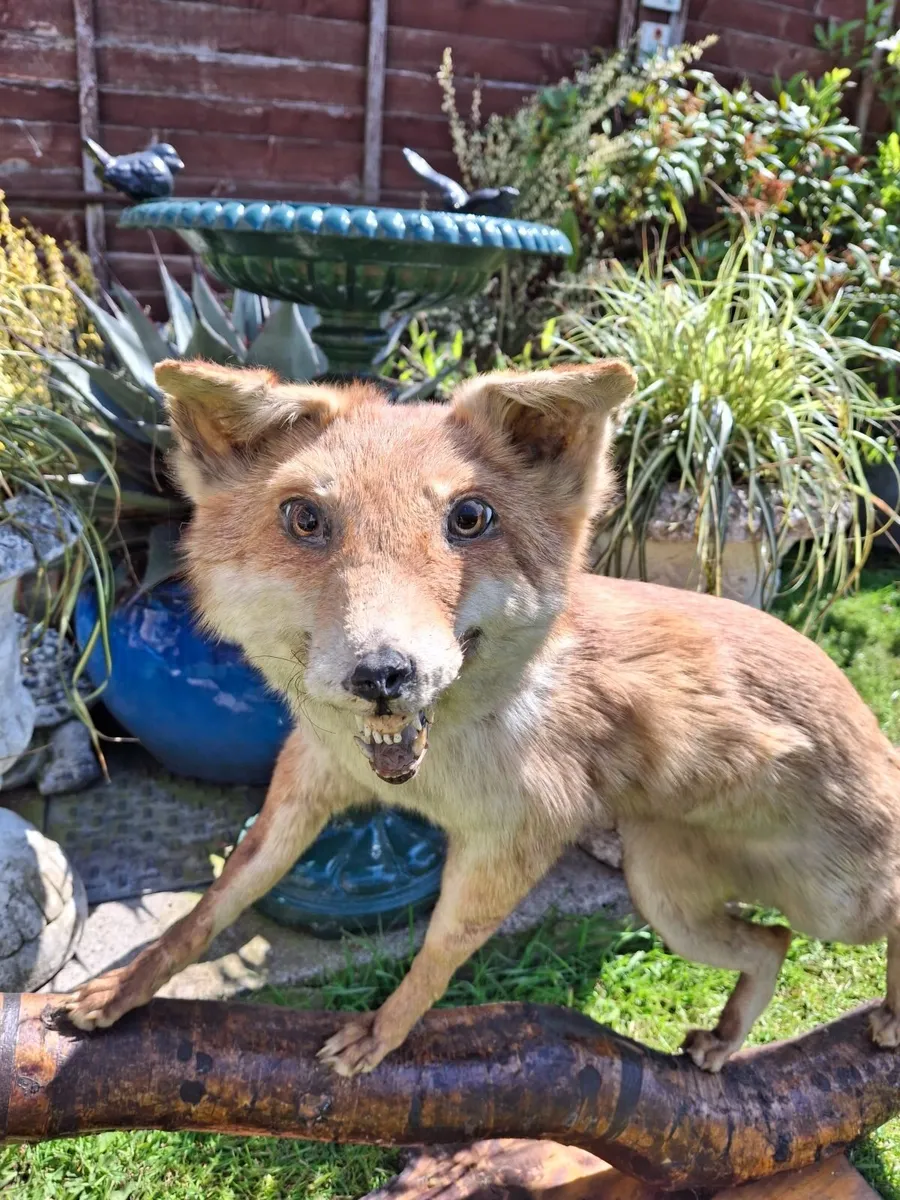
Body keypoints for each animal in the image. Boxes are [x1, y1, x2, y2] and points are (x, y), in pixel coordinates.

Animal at [58, 357, 900, 1077]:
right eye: (304, 519)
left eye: (469, 518)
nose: (384, 672)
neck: (430, 776)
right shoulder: (304, 791)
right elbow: (212, 906)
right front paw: (124, 989)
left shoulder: (513, 843)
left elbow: (436, 954)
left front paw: (383, 1032)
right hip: (669, 901)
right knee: (772, 944)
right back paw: (726, 1039)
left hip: (835, 906)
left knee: (865, 922)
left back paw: (889, 1016)